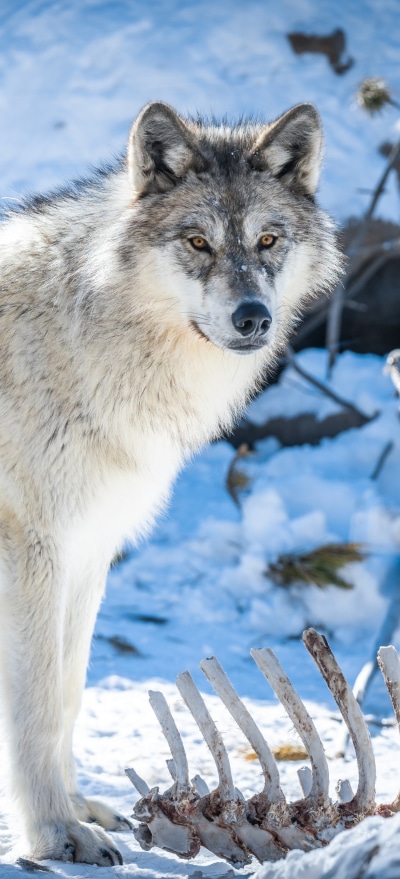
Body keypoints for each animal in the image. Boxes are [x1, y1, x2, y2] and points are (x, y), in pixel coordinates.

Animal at [0, 101, 341, 865]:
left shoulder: (87, 552)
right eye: (197, 242)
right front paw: (54, 834)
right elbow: (37, 705)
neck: (83, 338)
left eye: (267, 240)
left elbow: (67, 695)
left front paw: (77, 811)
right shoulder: (33, 552)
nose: (253, 317)